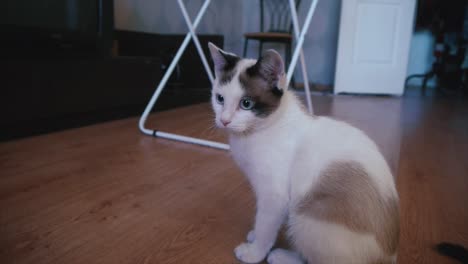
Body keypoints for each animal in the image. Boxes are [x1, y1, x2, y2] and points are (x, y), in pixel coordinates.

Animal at [208, 42, 398, 262]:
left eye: (246, 103)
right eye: (220, 99)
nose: (224, 120)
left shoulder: (274, 194)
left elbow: (265, 224)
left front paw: (255, 252)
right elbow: (265, 222)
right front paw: (254, 236)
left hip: (307, 217)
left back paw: (280, 257)